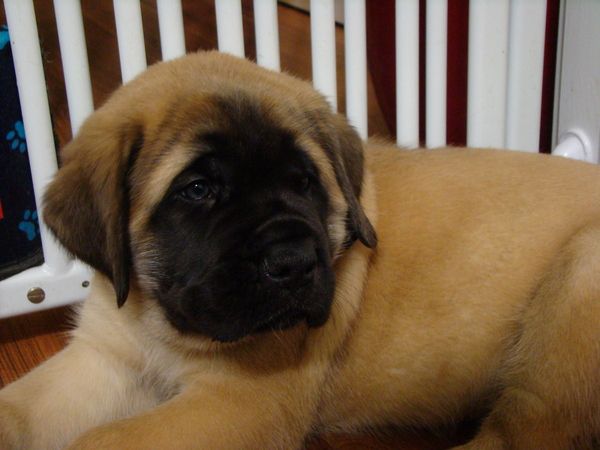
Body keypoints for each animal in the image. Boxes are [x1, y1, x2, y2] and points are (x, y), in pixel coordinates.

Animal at [1, 51, 600, 450]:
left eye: (304, 182)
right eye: (197, 190)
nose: (292, 264)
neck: (160, 325)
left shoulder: (240, 405)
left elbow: (100, 440)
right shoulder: (103, 359)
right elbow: (20, 407)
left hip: (573, 295)